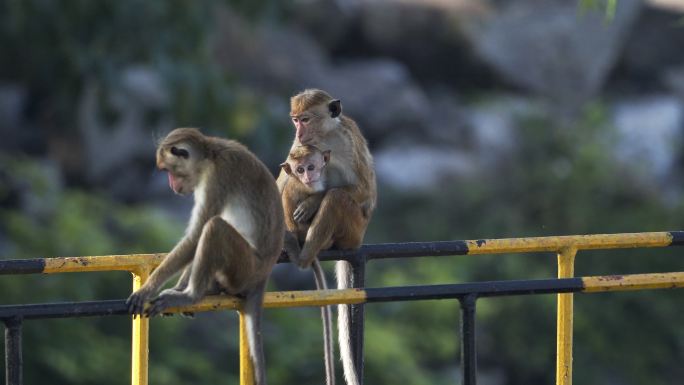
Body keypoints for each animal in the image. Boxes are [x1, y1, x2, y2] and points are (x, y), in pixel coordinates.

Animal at [127, 127, 284, 384]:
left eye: (169, 170)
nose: (171, 185)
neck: (210, 155)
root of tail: (263, 275)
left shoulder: (217, 178)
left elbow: (196, 234)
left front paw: (148, 289)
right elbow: (194, 241)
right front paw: (178, 286)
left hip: (245, 267)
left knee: (214, 228)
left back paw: (192, 295)